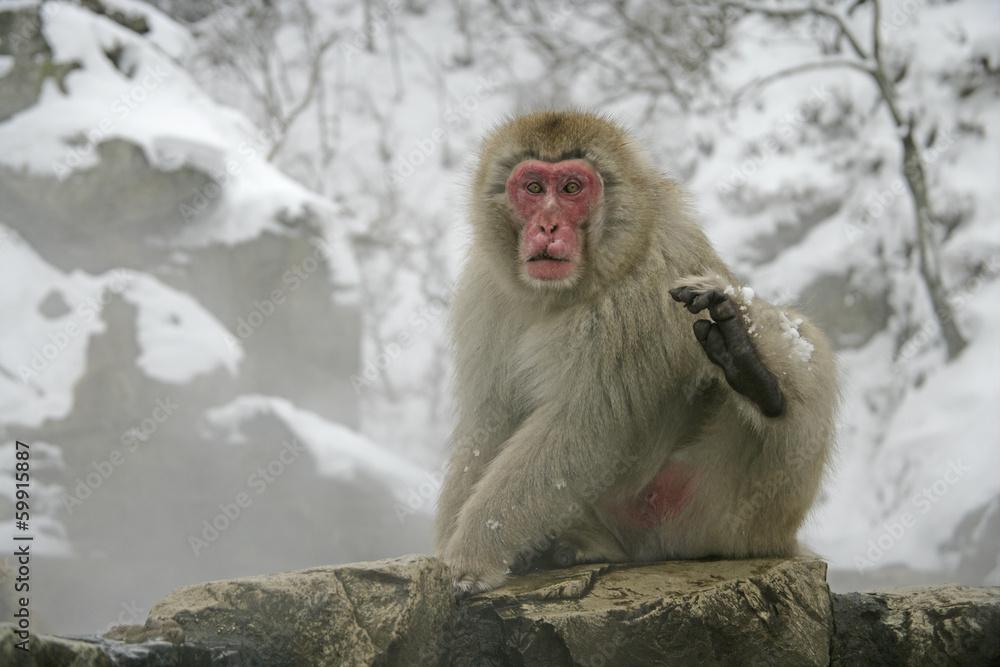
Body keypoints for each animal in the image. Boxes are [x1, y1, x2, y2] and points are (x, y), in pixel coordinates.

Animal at [434, 110, 838, 596]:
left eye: (571, 188)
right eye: (533, 188)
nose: (547, 226)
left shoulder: (639, 293)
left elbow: (585, 425)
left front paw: (474, 553)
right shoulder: (485, 291)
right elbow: (489, 417)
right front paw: (452, 545)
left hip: (720, 513)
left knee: (808, 348)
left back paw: (752, 367)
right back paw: (574, 546)